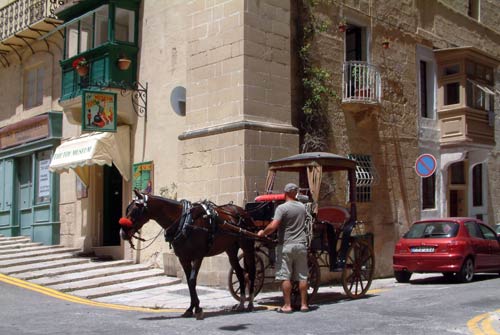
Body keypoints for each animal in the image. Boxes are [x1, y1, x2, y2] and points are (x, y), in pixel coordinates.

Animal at [117, 192, 258, 320]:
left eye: (135, 209)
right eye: (127, 209)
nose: (122, 233)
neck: (185, 222)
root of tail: (242, 211)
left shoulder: (198, 256)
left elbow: (192, 280)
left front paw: (198, 309)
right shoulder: (183, 258)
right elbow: (190, 283)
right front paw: (191, 309)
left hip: (247, 246)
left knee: (251, 272)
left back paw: (250, 302)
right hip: (231, 250)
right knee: (240, 273)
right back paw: (241, 303)